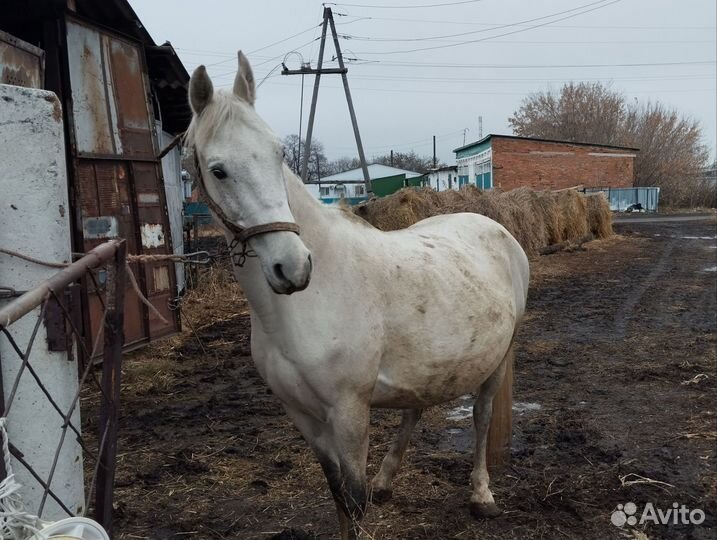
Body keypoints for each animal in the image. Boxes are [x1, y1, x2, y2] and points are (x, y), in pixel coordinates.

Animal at [185, 51, 530, 540]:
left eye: (277, 154)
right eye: (218, 170)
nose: (293, 267)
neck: (308, 304)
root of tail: (496, 228)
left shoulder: (348, 413)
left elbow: (353, 496)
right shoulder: (304, 416)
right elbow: (337, 495)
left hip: (497, 361)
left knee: (481, 419)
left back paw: (481, 495)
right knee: (414, 411)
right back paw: (387, 480)